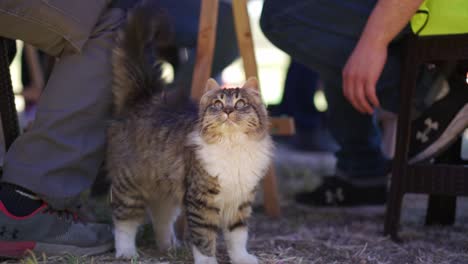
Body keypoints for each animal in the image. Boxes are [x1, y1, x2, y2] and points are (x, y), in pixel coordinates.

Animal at [107, 2, 272, 264]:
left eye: (240, 104)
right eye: (217, 104)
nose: (227, 111)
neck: (232, 147)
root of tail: (145, 97)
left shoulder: (240, 200)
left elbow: (237, 236)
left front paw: (242, 258)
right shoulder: (201, 200)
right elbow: (204, 239)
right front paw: (207, 261)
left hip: (165, 191)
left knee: (161, 219)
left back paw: (170, 247)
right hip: (129, 186)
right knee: (124, 223)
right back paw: (127, 252)